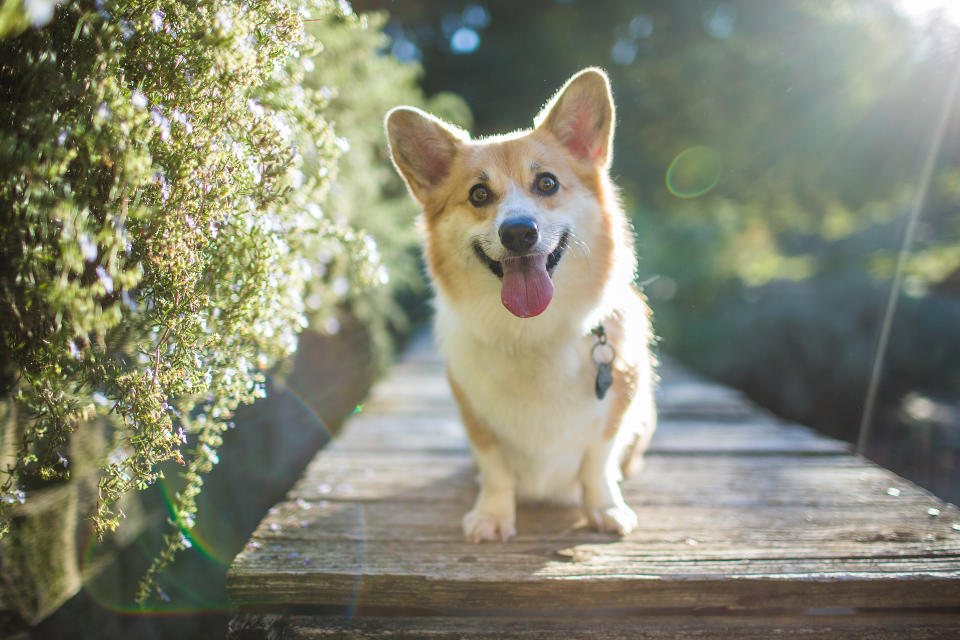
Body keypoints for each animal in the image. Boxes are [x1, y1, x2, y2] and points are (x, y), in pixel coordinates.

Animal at [386, 69, 656, 540]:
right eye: (478, 194)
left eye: (547, 183)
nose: (518, 232)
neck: (532, 330)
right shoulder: (475, 417)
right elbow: (495, 469)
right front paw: (492, 516)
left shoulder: (617, 407)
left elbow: (597, 463)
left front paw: (605, 508)